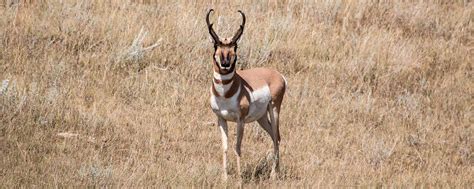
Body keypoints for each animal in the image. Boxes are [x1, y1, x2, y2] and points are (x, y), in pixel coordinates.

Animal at [206, 9, 286, 180]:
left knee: (276, 137)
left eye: (235, 46)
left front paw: (239, 179)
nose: (225, 63)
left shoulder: (240, 120)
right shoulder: (221, 119)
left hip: (274, 110)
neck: (226, 94)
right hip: (261, 118)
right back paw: (276, 171)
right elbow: (225, 147)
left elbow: (237, 147)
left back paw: (273, 174)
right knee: (275, 136)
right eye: (216, 45)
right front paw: (225, 178)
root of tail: (278, 75)